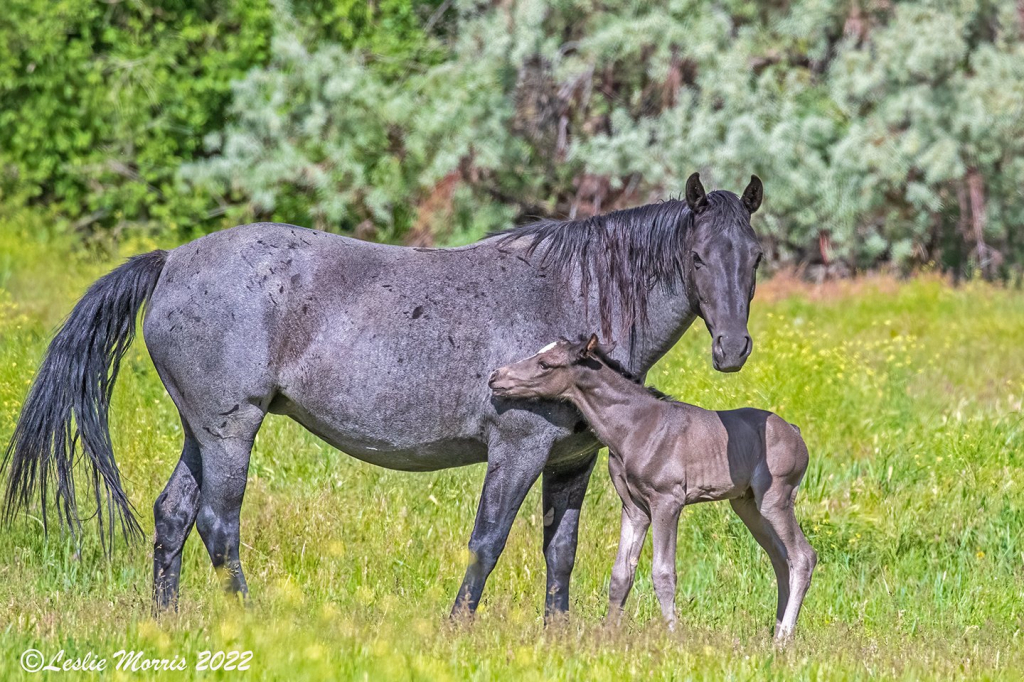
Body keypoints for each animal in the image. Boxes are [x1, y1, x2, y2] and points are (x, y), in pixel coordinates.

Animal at [491, 333, 819, 638]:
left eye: (545, 364)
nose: (495, 377)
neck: (636, 426)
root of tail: (795, 432)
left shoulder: (667, 502)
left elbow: (663, 573)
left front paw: (672, 637)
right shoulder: (634, 507)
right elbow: (621, 573)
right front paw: (609, 635)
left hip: (774, 499)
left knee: (803, 557)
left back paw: (783, 640)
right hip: (747, 505)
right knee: (781, 560)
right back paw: (775, 635)